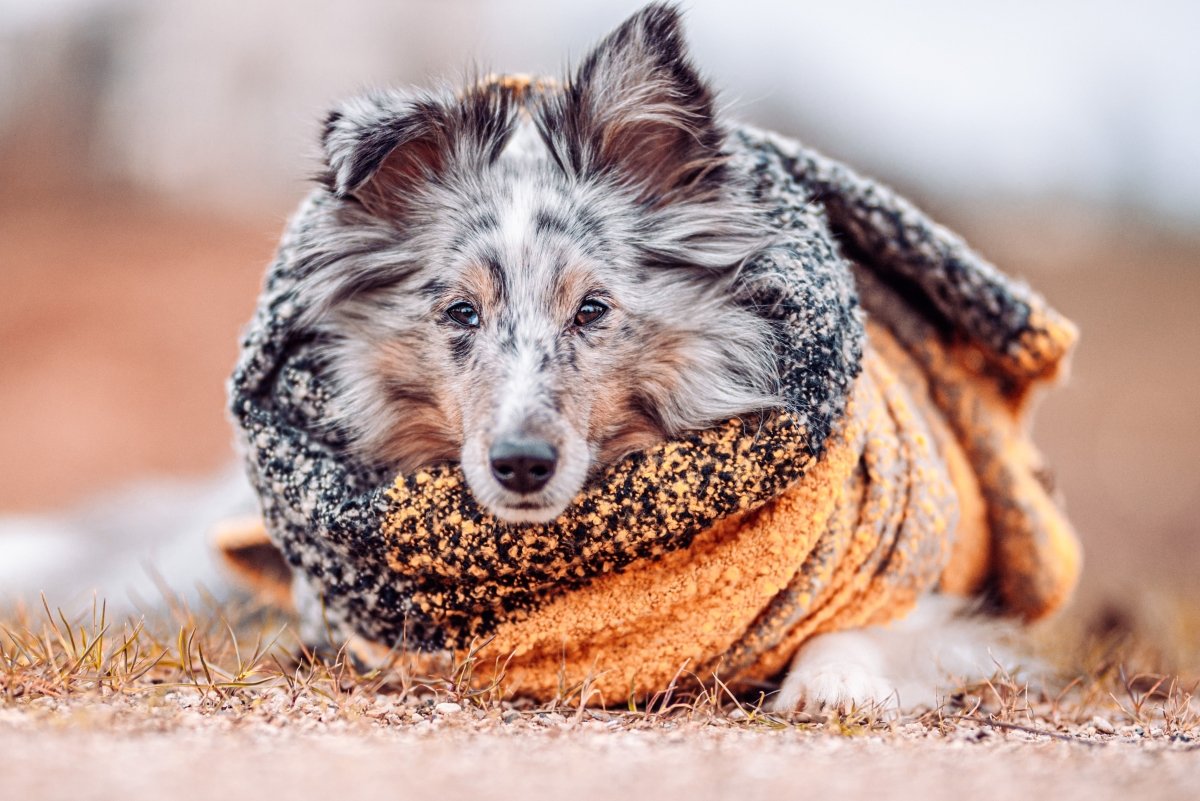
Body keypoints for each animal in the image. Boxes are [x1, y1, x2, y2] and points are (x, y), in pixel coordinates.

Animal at [288, 1, 1003, 714]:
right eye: (462, 312)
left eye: (592, 308)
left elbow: (859, 628)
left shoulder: (937, 601)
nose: (522, 465)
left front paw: (832, 683)